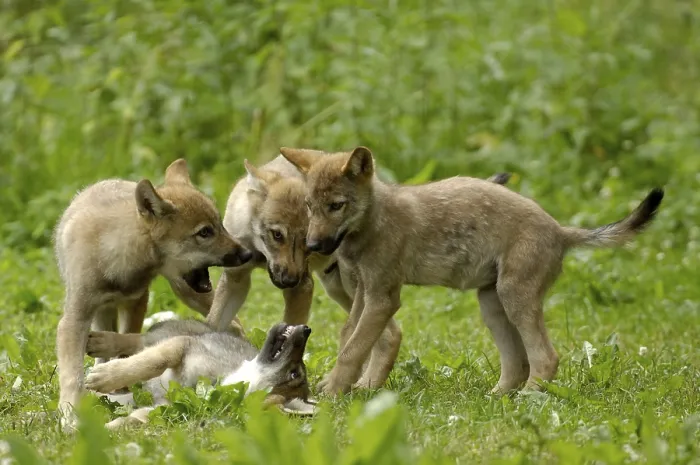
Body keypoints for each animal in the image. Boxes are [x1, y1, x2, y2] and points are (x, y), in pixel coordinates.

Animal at [53, 159, 253, 428]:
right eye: (204, 232)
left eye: (220, 226)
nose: (247, 254)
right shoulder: (75, 318)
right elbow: (71, 375)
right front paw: (69, 415)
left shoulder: (137, 301)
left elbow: (130, 345)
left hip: (186, 292)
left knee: (229, 325)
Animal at [280, 146, 664, 395]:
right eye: (310, 207)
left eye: (336, 206)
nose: (313, 246)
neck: (373, 223)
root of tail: (560, 229)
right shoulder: (364, 293)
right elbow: (350, 339)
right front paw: (352, 388)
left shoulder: (382, 298)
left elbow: (352, 350)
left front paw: (333, 392)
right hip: (492, 306)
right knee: (518, 363)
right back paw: (497, 398)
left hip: (514, 300)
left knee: (546, 357)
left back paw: (529, 398)